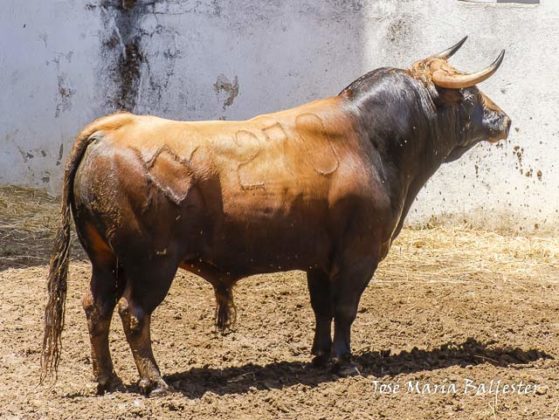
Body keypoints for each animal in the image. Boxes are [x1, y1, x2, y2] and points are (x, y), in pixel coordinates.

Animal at [39, 37, 512, 396]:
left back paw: (108, 379)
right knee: (133, 313)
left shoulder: (320, 259)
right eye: (470, 94)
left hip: (106, 260)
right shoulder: (359, 254)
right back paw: (154, 381)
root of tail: (113, 129)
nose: (503, 120)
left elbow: (322, 307)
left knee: (96, 308)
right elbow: (345, 307)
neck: (369, 139)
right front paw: (345, 361)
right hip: (152, 264)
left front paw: (320, 356)